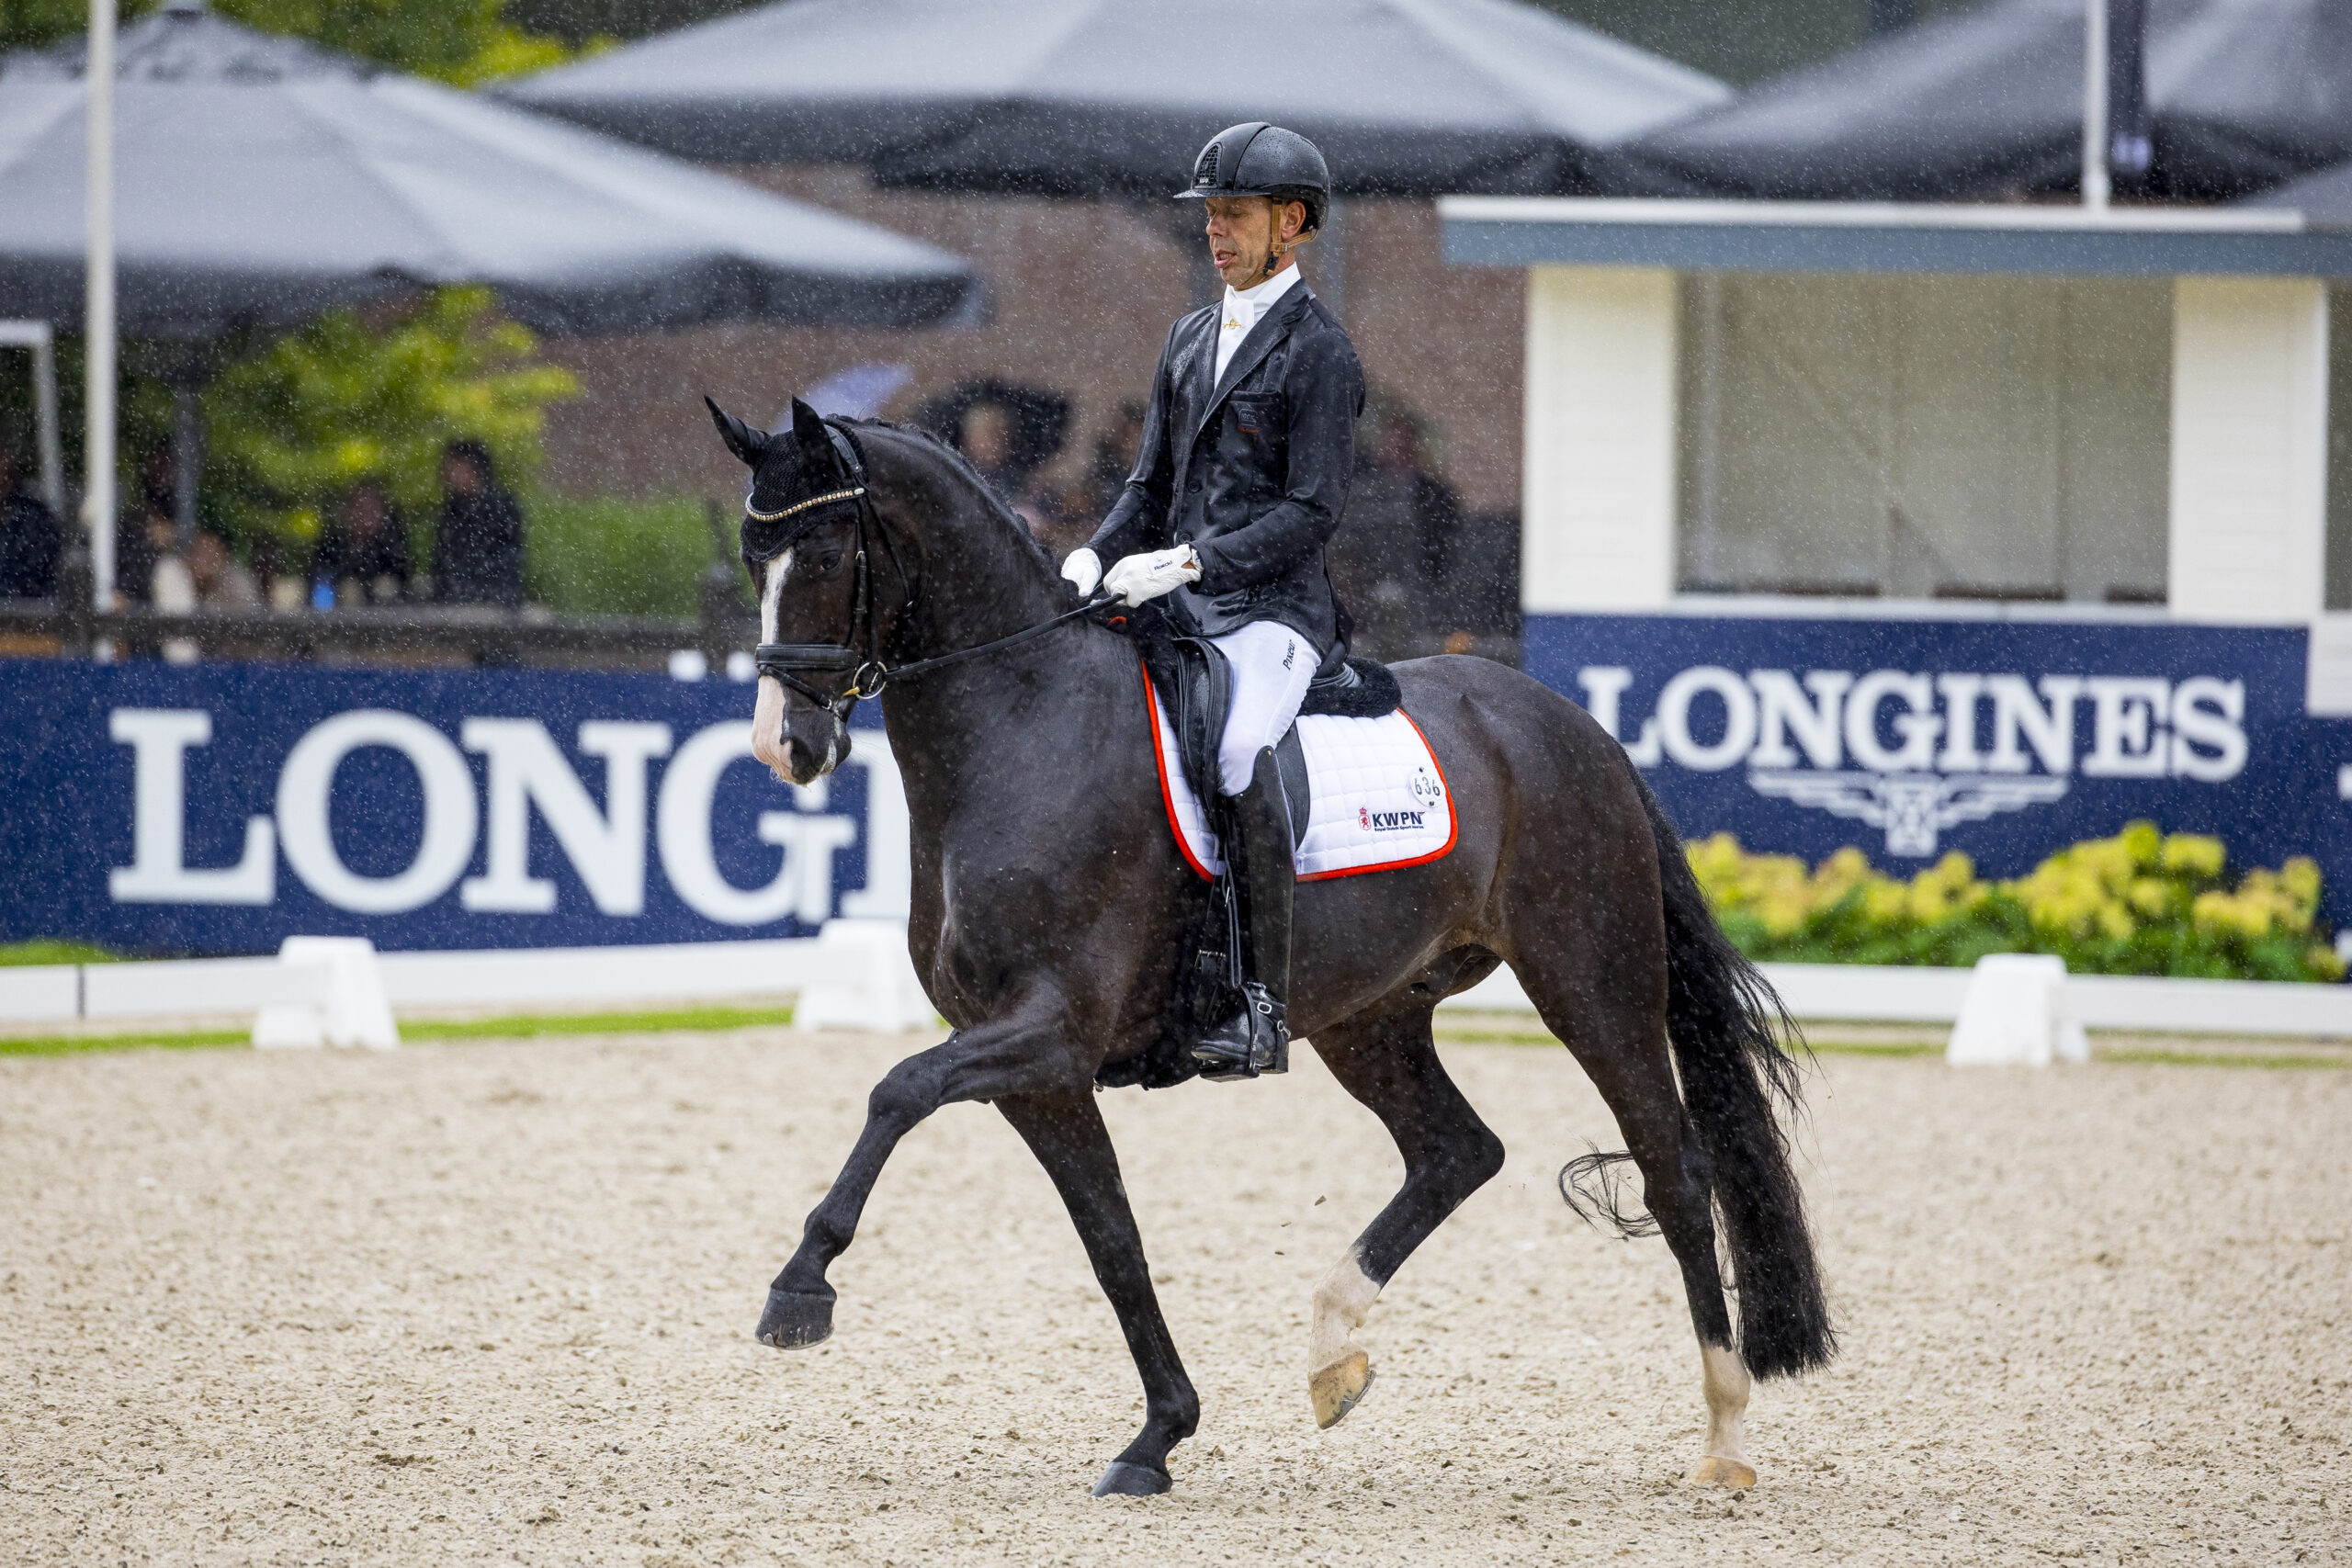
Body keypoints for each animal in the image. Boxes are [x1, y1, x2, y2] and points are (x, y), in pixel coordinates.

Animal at [707, 395, 1835, 1498]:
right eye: (755, 560)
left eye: (825, 551)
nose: (784, 746)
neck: (1024, 725)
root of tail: (1576, 729)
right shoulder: (1038, 1069)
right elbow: (1113, 1241)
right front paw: (1158, 1436)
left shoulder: (1049, 1029)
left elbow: (895, 1090)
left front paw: (798, 1290)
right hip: (1371, 1017)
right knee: (1458, 1150)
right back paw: (1333, 1354)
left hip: (1592, 984)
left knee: (1674, 1173)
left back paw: (1725, 1433)